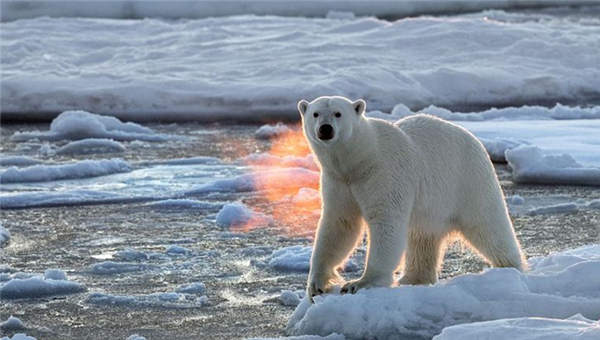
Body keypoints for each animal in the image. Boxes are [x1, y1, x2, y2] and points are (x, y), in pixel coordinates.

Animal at [300, 95, 524, 298]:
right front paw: (316, 285)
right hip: (433, 207)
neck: (359, 160)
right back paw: (414, 278)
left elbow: (386, 222)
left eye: (338, 113)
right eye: (315, 113)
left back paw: (510, 267)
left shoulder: (384, 173)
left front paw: (359, 283)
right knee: (422, 238)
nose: (325, 129)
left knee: (489, 225)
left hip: (468, 181)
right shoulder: (338, 181)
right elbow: (340, 224)